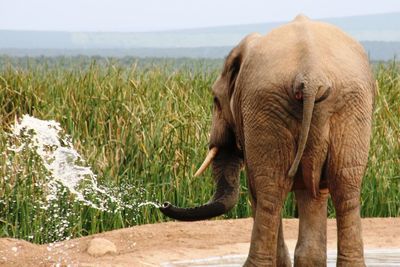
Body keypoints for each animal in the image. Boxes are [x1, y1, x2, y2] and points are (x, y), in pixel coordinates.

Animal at [159, 15, 376, 267]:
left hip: (267, 105)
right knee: (346, 189)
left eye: (215, 100)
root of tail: (311, 75)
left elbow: (259, 186)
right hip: (350, 108)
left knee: (270, 192)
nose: (164, 203)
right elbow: (311, 191)